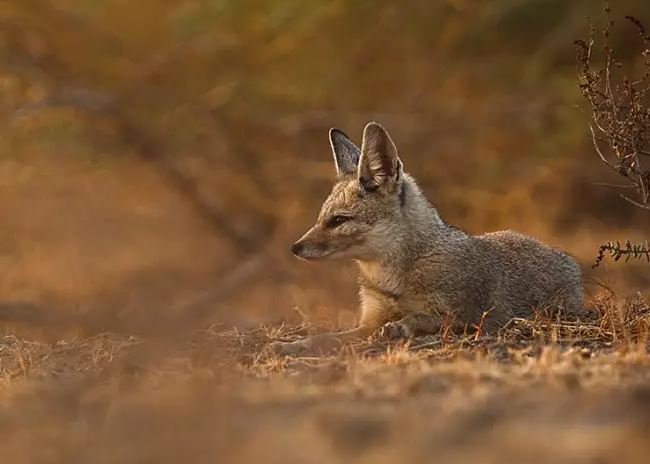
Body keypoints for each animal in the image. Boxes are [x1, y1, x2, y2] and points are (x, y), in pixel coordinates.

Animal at [274, 121, 584, 354]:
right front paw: (294, 344)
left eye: (338, 220)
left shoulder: (468, 316)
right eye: (321, 217)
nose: (295, 247)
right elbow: (327, 337)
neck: (394, 277)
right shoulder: (369, 320)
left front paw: (402, 326)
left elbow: (424, 318)